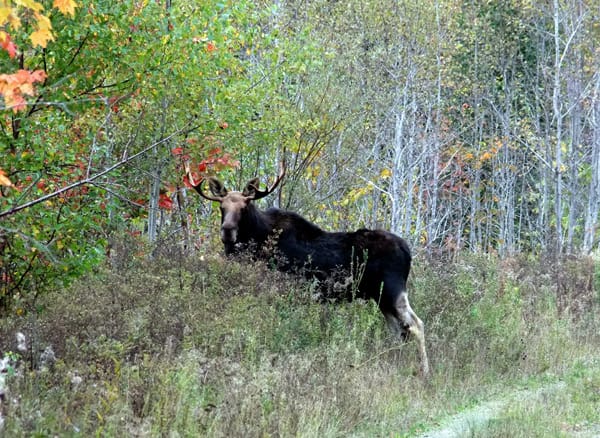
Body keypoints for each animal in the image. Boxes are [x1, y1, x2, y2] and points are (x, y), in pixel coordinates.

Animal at [186, 164, 426, 376]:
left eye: (243, 208)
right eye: (222, 207)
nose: (227, 231)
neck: (257, 240)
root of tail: (407, 250)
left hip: (392, 290)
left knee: (416, 325)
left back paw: (424, 372)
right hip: (380, 298)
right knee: (398, 331)